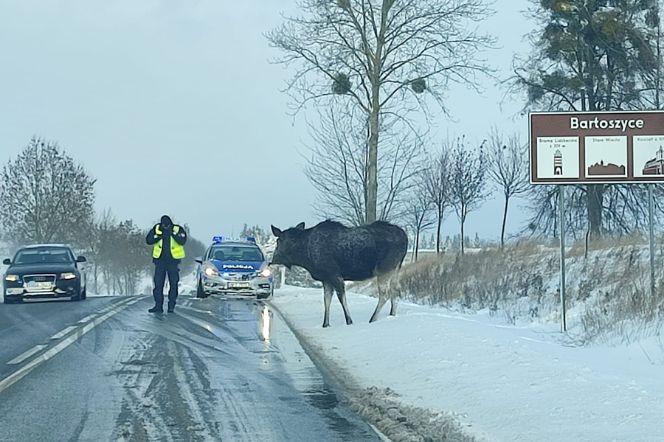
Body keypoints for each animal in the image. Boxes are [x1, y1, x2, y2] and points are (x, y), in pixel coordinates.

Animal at [272, 221, 408, 328]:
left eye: (278, 241)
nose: (272, 260)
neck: (305, 256)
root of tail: (405, 238)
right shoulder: (326, 279)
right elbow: (326, 300)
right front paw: (325, 324)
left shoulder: (334, 274)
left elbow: (341, 297)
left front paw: (349, 321)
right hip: (396, 268)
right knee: (396, 290)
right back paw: (392, 315)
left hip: (384, 268)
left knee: (385, 294)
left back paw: (373, 319)